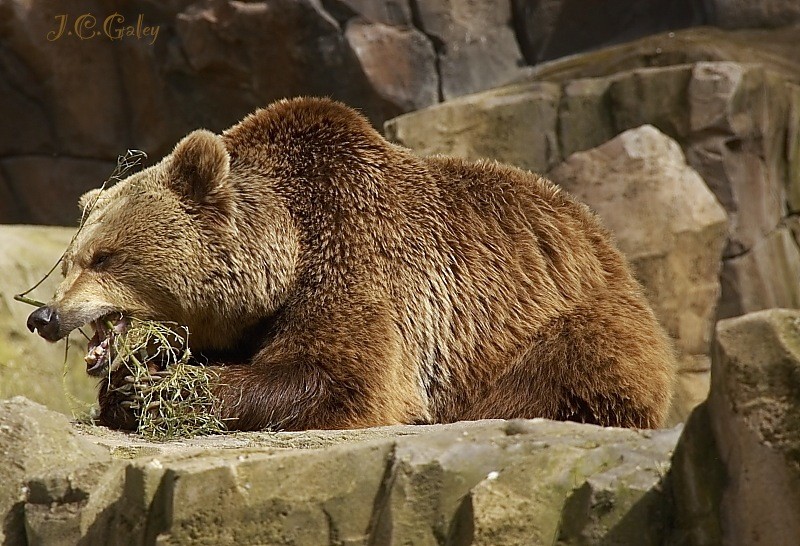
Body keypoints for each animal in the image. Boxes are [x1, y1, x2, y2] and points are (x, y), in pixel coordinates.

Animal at [25, 96, 676, 430]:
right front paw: (128, 385)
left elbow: (338, 374)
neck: (287, 248)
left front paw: (152, 392)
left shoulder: (362, 261)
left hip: (562, 319)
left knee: (572, 366)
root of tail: (600, 236)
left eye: (105, 256)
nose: (44, 316)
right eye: (71, 260)